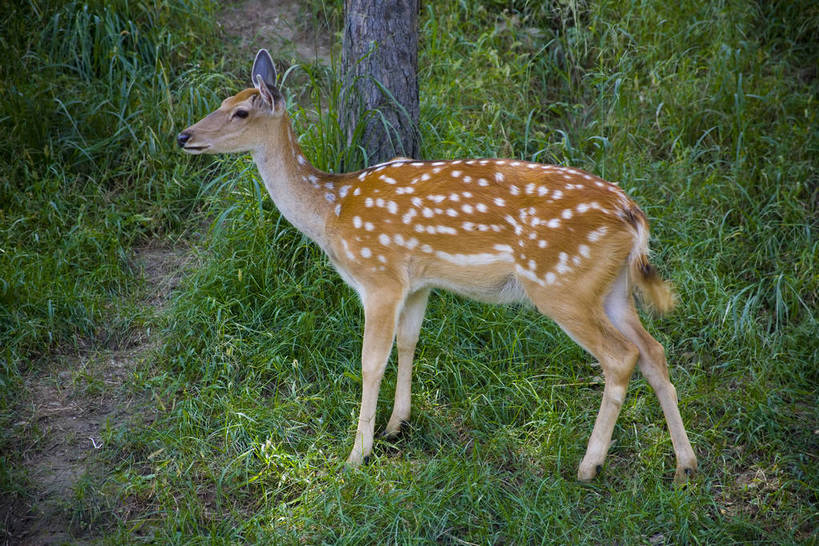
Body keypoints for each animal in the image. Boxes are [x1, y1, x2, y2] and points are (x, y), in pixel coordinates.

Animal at [179, 49, 700, 478]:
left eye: (241, 111)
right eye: (223, 99)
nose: (185, 135)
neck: (331, 211)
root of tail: (633, 216)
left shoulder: (380, 277)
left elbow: (371, 361)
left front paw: (356, 454)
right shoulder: (419, 283)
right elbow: (409, 343)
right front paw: (397, 426)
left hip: (560, 283)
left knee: (621, 356)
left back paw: (589, 466)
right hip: (611, 288)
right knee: (654, 351)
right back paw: (685, 465)